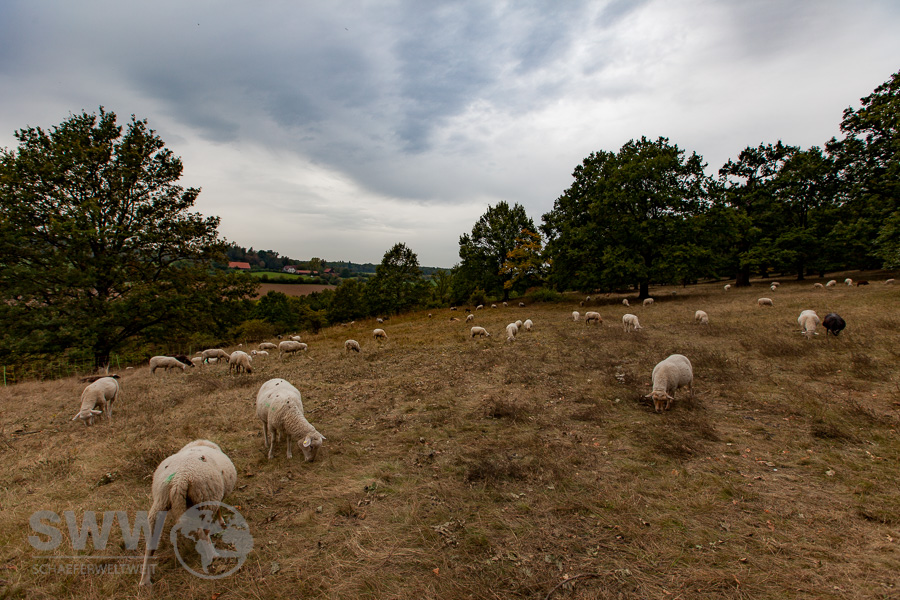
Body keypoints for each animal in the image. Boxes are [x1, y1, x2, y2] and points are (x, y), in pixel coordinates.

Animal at [139, 439, 237, 587]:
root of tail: (179, 479)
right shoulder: (217, 496)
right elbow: (219, 510)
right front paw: (222, 523)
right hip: (206, 498)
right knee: (203, 532)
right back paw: (213, 555)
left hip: (160, 501)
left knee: (150, 543)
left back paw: (144, 580)